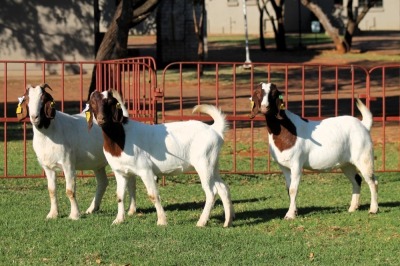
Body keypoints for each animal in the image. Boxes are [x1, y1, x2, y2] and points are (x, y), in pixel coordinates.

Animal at [17, 84, 137, 219]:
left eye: (43, 98)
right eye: (27, 99)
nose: (34, 117)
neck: (50, 132)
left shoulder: (68, 164)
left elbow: (70, 190)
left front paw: (74, 215)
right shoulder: (47, 167)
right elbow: (51, 190)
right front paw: (52, 214)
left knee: (131, 181)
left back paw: (132, 210)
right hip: (97, 163)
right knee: (103, 182)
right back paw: (92, 208)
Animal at [86, 90, 233, 227]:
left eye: (110, 102)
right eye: (92, 103)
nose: (101, 119)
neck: (121, 138)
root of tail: (214, 129)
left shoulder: (145, 170)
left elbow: (153, 195)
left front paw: (162, 221)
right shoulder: (120, 172)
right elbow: (119, 196)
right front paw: (118, 220)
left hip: (204, 163)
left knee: (211, 192)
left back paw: (201, 222)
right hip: (213, 164)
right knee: (223, 187)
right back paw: (228, 221)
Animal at [250, 82, 378, 218]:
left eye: (274, 93)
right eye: (258, 92)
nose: (265, 108)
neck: (286, 129)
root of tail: (364, 125)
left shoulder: (296, 164)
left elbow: (293, 189)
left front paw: (290, 215)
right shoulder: (284, 166)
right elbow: (288, 189)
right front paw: (294, 211)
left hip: (364, 157)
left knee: (372, 181)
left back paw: (373, 209)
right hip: (346, 163)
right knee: (356, 180)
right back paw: (353, 208)